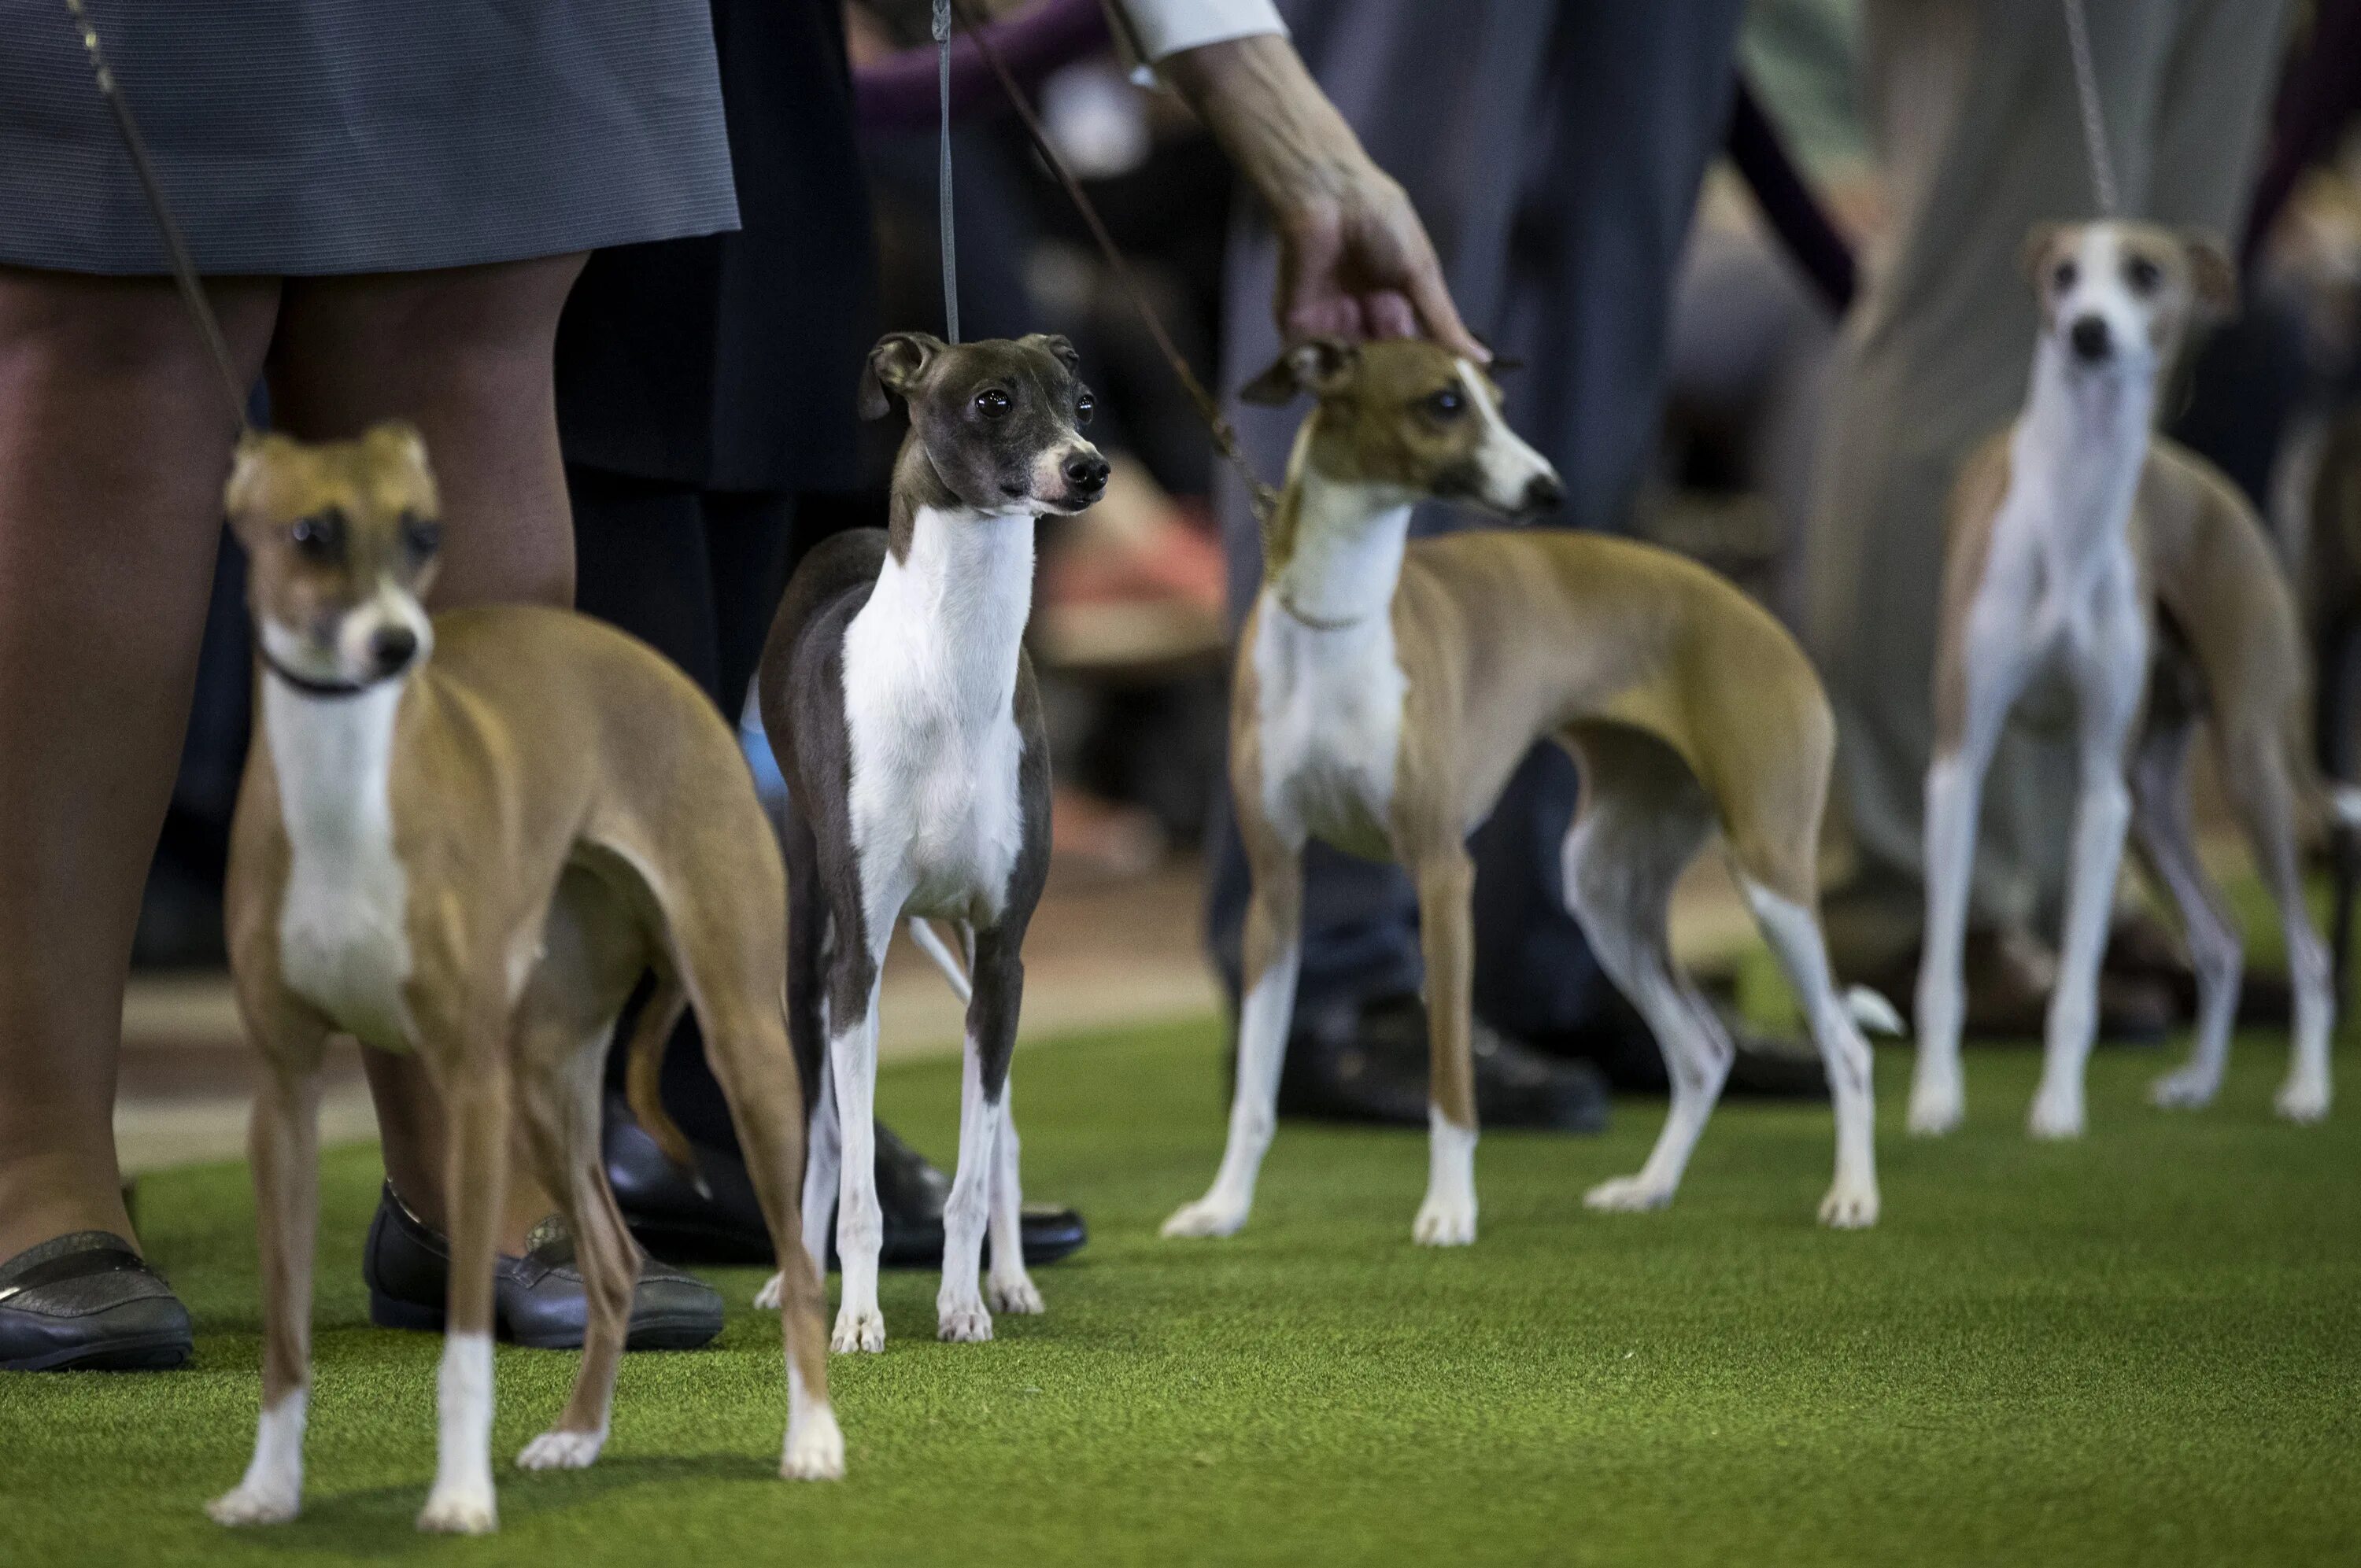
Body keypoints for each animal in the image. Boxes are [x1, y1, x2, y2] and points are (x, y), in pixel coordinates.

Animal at [205, 425, 841, 1529]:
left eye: (424, 532)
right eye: (309, 533)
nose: (397, 646)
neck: (347, 788)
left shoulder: (468, 1087)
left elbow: (465, 1342)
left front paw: (459, 1497)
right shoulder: (282, 1097)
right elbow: (285, 1336)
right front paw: (268, 1488)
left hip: (739, 1043)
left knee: (798, 1264)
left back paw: (812, 1438)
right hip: (547, 1080)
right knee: (615, 1264)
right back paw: (578, 1434)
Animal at [1162, 338, 1879, 1246]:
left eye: (1497, 400)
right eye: (1443, 402)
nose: (1549, 489)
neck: (1338, 618)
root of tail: (1764, 621)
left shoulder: (1441, 873)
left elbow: (1451, 1078)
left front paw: (1447, 1207)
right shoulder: (1277, 889)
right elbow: (1256, 1088)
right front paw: (1223, 1206)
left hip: (1769, 870)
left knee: (1846, 1046)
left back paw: (1853, 1194)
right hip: (1607, 887)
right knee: (1702, 1050)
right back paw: (1649, 1187)